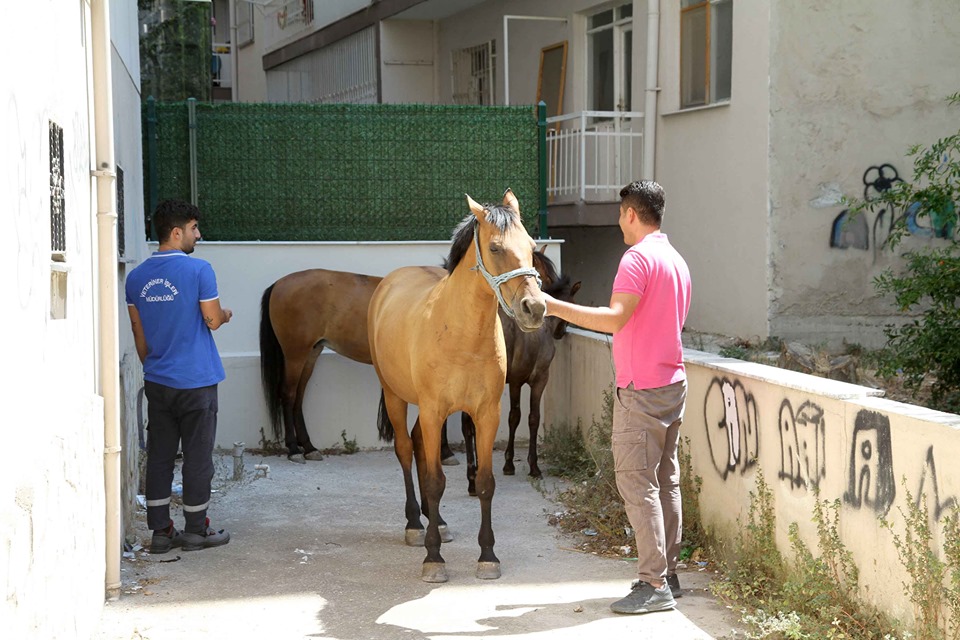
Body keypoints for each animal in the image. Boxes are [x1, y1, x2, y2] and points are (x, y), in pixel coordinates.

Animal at [370, 188, 548, 584]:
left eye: (531, 246)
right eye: (495, 248)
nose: (534, 308)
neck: (462, 335)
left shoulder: (485, 414)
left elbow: (484, 482)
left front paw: (488, 556)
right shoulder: (435, 411)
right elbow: (436, 481)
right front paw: (433, 558)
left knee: (419, 448)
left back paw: (437, 522)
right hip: (395, 395)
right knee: (406, 451)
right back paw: (414, 524)